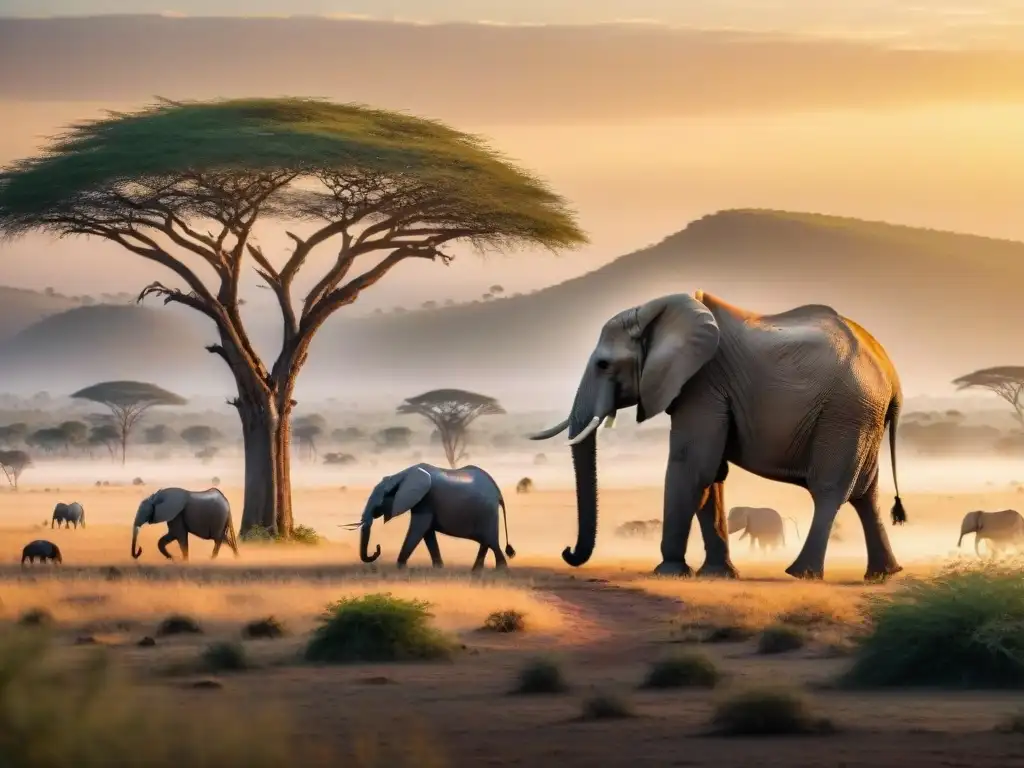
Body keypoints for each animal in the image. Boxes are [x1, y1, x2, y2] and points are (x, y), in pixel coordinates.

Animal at [352, 462, 516, 573]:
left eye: (379, 502)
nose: (377, 549)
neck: (401, 476)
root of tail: (498, 493)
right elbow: (428, 533)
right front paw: (439, 569)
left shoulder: (425, 501)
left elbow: (418, 529)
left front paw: (400, 569)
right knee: (486, 542)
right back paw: (476, 571)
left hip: (487, 513)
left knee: (491, 541)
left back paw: (499, 570)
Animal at [532, 290, 909, 581]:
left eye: (603, 365)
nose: (567, 551)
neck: (659, 312)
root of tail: (892, 376)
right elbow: (711, 474)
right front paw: (718, 574)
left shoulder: (702, 385)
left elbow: (691, 466)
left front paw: (669, 572)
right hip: (863, 417)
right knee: (866, 494)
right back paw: (882, 574)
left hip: (845, 413)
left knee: (830, 490)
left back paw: (801, 573)